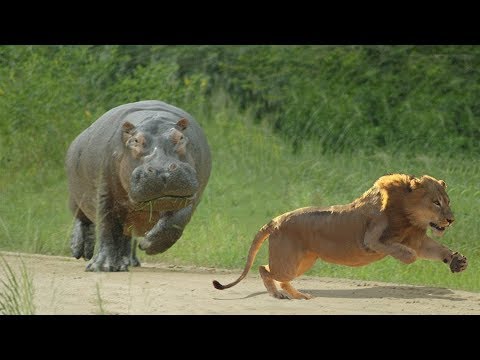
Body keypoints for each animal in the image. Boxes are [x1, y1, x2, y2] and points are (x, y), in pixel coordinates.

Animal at [64, 100, 211, 272]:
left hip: (129, 218)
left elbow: (176, 222)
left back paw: (126, 262)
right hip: (76, 196)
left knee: (124, 236)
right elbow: (106, 226)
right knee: (82, 218)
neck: (153, 118)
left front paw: (147, 244)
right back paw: (80, 250)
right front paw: (102, 267)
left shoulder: (192, 196)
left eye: (181, 137)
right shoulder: (103, 194)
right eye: (135, 141)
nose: (162, 170)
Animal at [212, 173, 466, 300]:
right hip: (288, 262)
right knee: (264, 269)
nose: (451, 220)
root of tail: (275, 220)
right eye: (436, 202)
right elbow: (407, 253)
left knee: (279, 276)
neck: (409, 215)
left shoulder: (417, 239)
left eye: (448, 202)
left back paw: (300, 295)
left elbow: (437, 250)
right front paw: (407, 257)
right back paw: (277, 295)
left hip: (302, 262)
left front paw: (457, 261)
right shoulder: (371, 239)